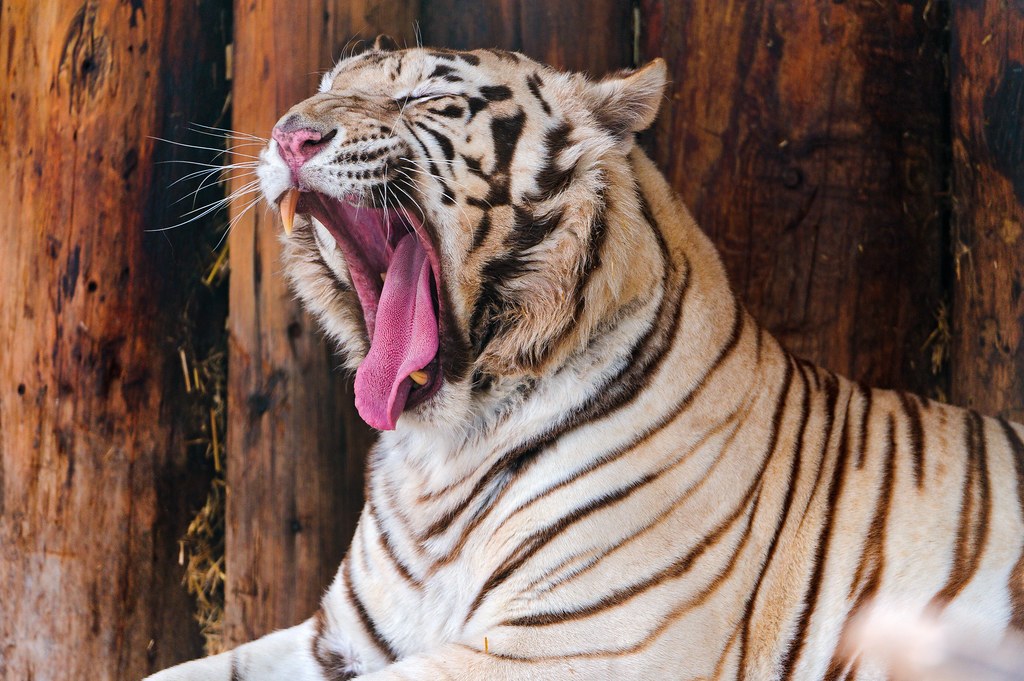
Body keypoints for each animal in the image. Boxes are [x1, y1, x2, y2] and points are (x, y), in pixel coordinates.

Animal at [146, 38, 1024, 681]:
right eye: (324, 86)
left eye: (425, 98)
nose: (291, 134)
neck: (440, 454)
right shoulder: (340, 637)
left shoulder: (565, 645)